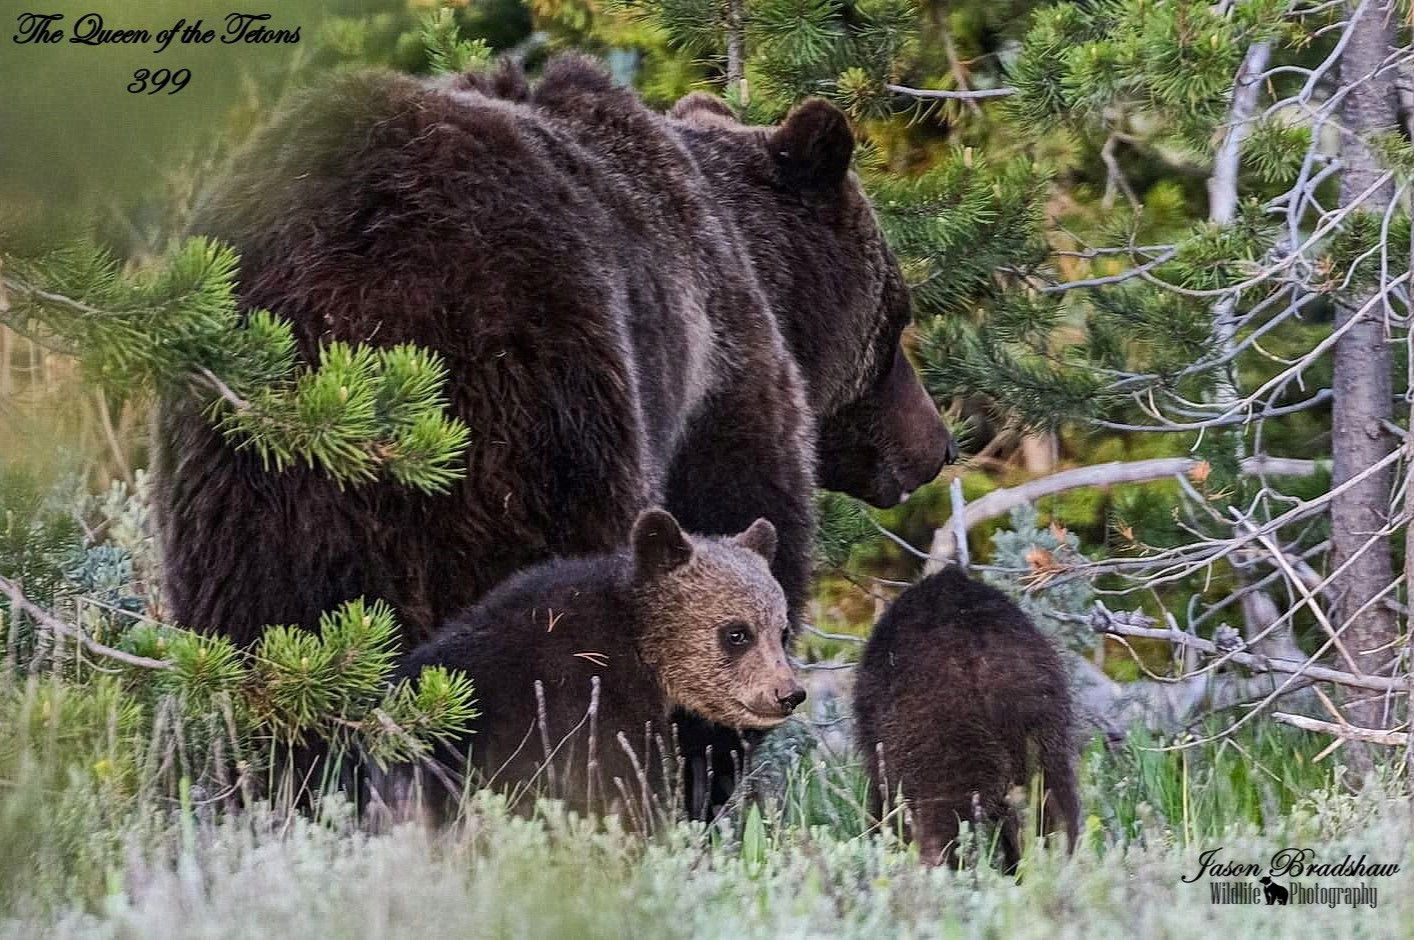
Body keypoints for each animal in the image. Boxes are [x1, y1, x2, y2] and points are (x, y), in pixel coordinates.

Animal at [382, 508, 802, 825]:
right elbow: (622, 782)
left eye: (781, 631)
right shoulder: (586, 699)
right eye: (737, 633)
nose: (788, 692)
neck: (639, 640)